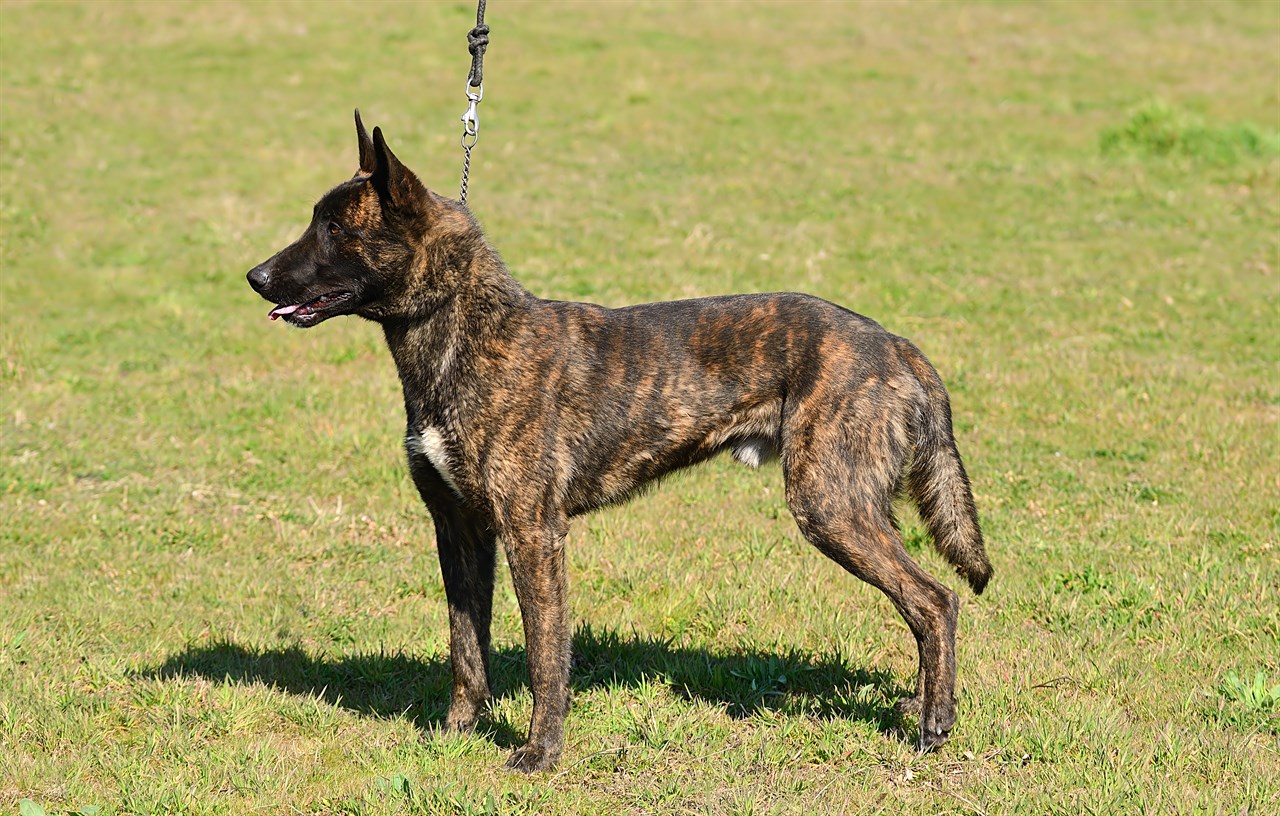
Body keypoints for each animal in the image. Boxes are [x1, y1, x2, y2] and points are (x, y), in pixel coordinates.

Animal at [244, 109, 993, 772]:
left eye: (334, 228)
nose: (255, 277)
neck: (466, 333)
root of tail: (895, 344)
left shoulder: (533, 533)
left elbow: (546, 657)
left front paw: (540, 754)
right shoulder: (459, 530)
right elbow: (466, 648)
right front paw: (456, 735)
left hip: (831, 507)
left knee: (936, 602)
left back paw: (934, 727)